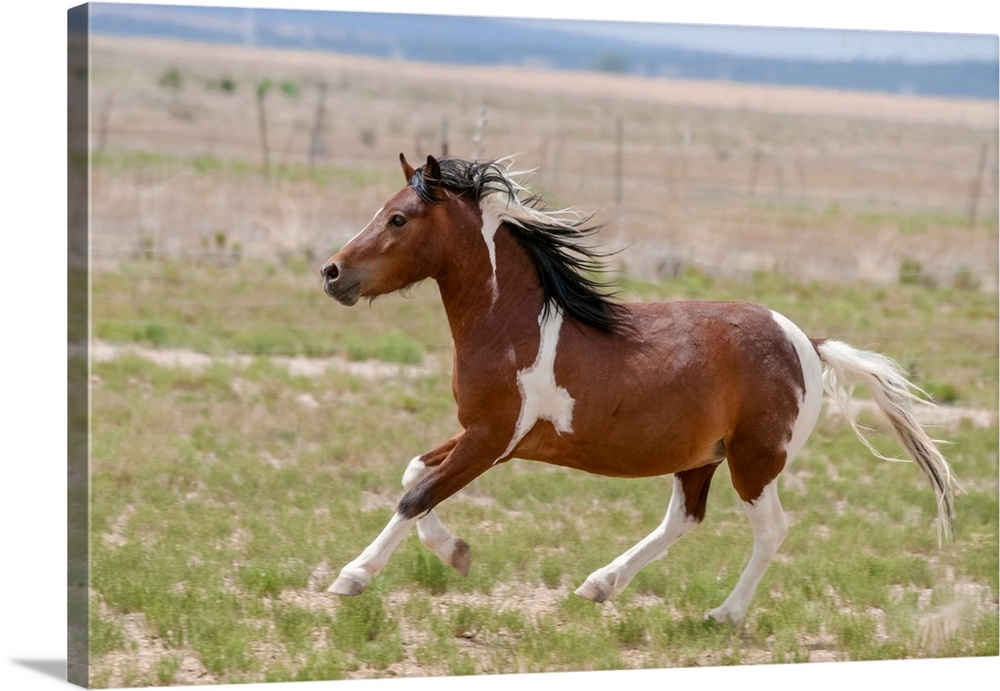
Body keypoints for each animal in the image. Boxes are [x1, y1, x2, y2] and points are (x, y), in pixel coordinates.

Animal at [322, 153, 960, 628]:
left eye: (399, 219)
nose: (331, 273)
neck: (516, 327)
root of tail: (807, 341)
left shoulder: (493, 440)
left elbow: (416, 495)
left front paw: (350, 577)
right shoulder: (481, 433)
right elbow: (414, 474)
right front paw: (457, 553)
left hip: (755, 462)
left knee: (770, 531)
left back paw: (722, 615)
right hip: (701, 456)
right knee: (685, 518)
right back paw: (600, 585)